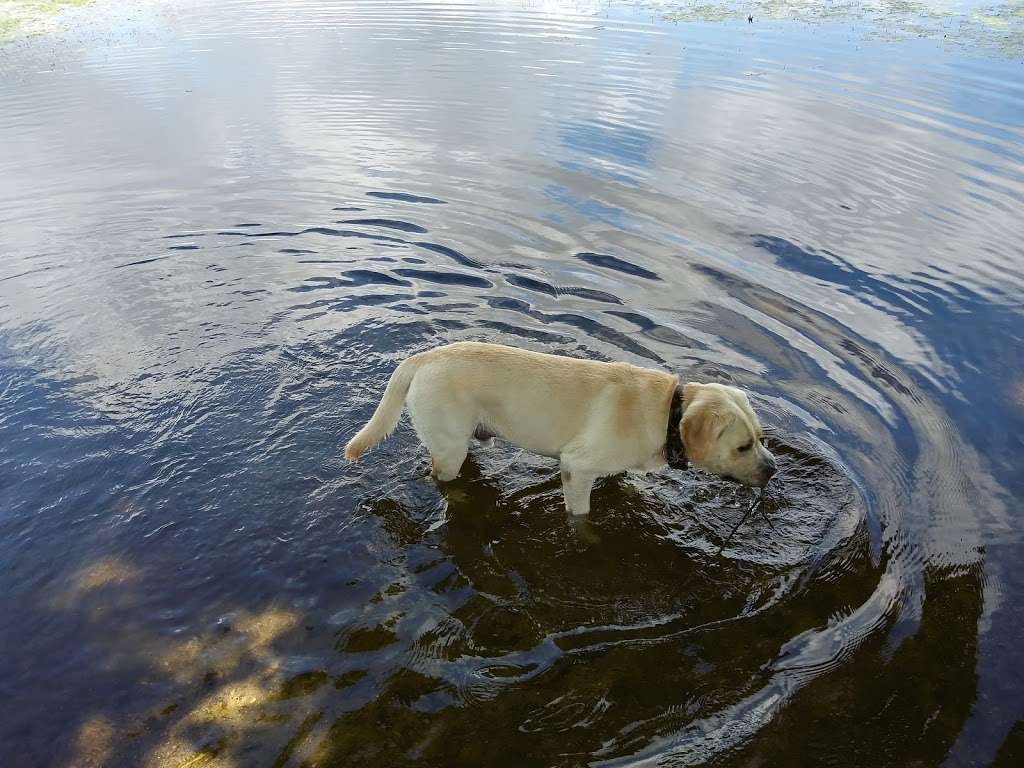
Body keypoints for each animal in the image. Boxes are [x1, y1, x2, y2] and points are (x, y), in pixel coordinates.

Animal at [344, 342, 774, 518]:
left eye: (761, 438)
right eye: (742, 446)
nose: (772, 469)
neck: (668, 411)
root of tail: (422, 358)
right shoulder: (576, 467)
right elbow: (580, 515)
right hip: (450, 449)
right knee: (443, 477)